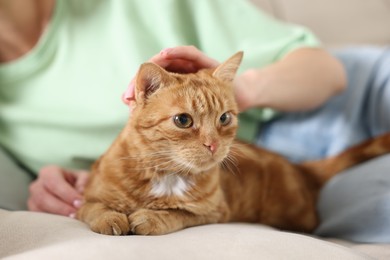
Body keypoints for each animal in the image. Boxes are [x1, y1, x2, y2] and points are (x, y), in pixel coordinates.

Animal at [77, 52, 390, 236]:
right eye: (183, 120)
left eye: (224, 118)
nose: (213, 145)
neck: (167, 175)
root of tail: (300, 168)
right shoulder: (88, 197)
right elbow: (95, 208)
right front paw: (111, 218)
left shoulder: (213, 212)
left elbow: (179, 214)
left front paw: (152, 218)